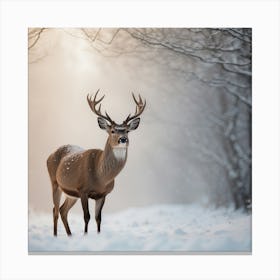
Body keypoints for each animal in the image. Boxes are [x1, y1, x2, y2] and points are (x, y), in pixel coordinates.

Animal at [46, 90, 145, 236]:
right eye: (112, 131)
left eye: (127, 131)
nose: (123, 139)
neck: (100, 177)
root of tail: (49, 155)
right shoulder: (82, 189)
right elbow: (86, 216)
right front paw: (85, 235)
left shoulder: (103, 194)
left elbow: (98, 218)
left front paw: (98, 235)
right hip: (54, 182)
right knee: (55, 210)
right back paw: (55, 236)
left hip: (71, 193)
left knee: (63, 210)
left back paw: (70, 235)